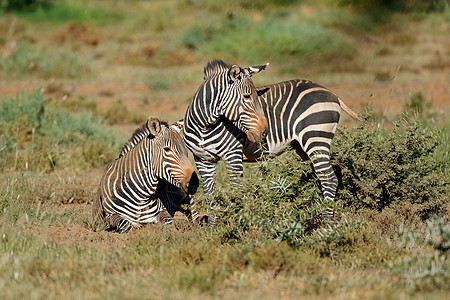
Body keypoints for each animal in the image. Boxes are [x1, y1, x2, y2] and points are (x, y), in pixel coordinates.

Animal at [182, 58, 268, 224]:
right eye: (247, 96)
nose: (264, 132)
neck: (204, 128)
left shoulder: (233, 154)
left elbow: (237, 189)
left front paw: (240, 222)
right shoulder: (202, 159)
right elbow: (209, 194)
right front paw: (212, 225)